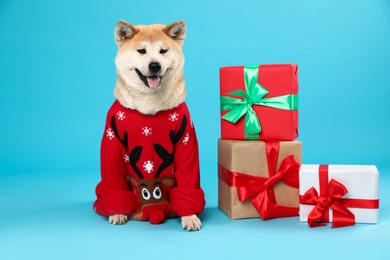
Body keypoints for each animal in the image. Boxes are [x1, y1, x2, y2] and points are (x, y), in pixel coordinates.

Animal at [93, 20, 206, 232]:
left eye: (163, 51)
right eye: (141, 51)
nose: (155, 65)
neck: (149, 108)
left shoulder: (185, 137)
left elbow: (187, 182)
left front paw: (189, 215)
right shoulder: (112, 139)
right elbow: (114, 181)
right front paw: (117, 212)